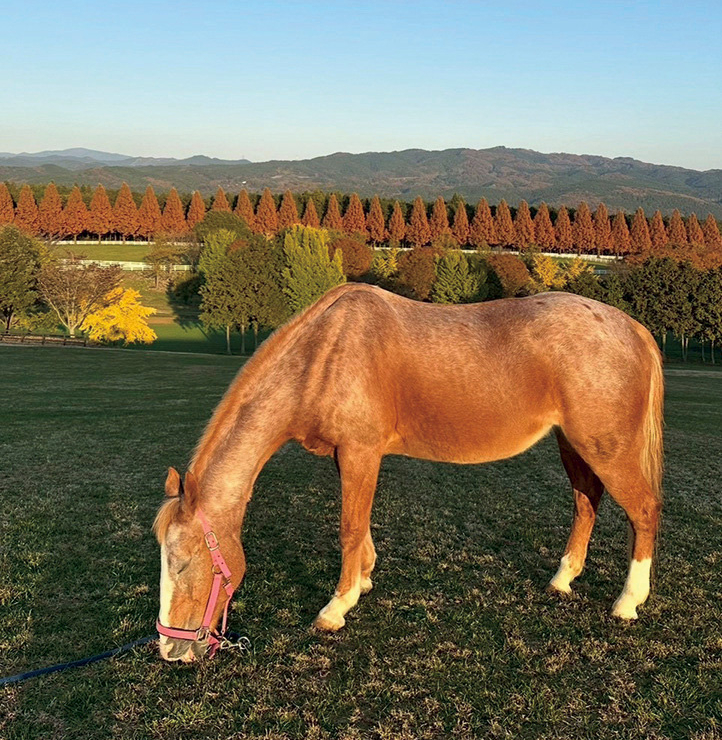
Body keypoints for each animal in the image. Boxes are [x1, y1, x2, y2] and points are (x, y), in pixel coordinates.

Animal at [154, 283, 663, 662]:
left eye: (182, 562)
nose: (168, 649)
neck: (324, 353)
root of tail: (632, 329)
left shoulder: (360, 452)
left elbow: (349, 526)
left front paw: (336, 608)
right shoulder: (350, 455)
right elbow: (361, 527)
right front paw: (362, 580)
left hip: (606, 449)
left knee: (643, 511)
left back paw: (627, 602)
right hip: (574, 444)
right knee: (586, 503)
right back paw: (563, 579)